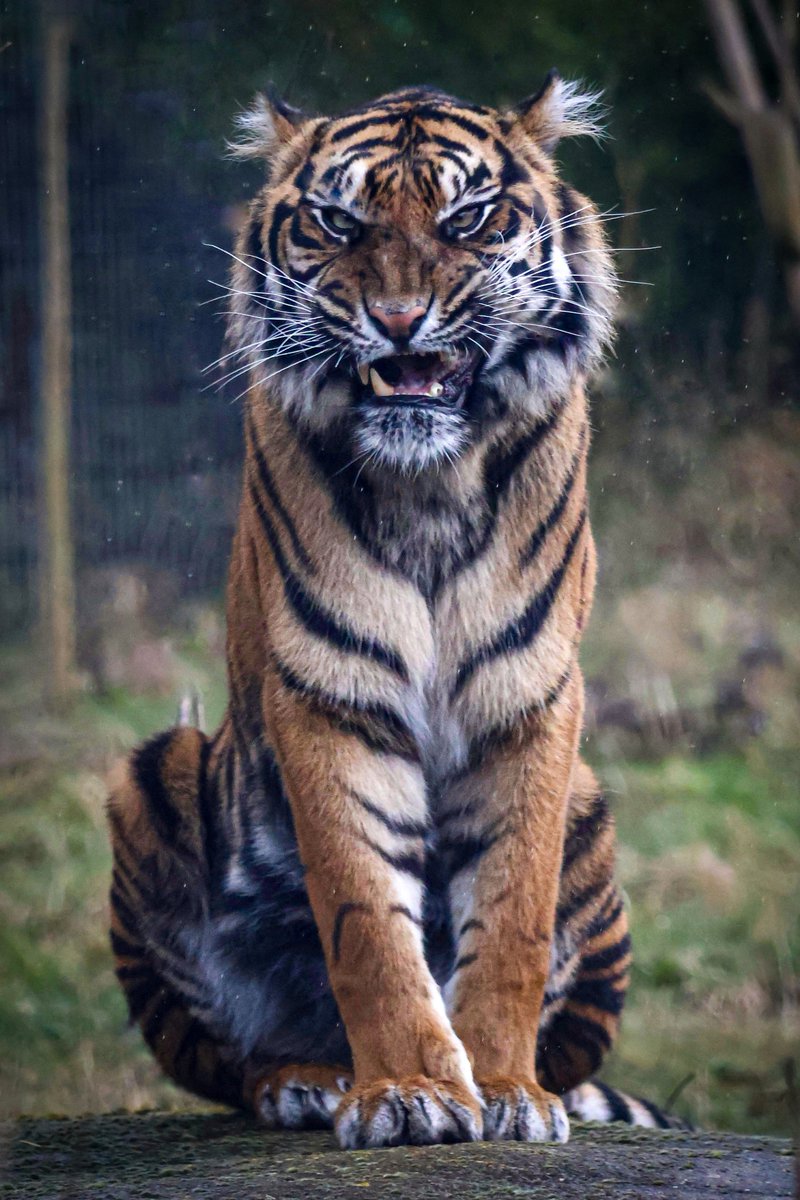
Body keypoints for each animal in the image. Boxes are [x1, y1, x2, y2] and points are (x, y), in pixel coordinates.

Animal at [107, 73, 682, 1149]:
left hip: (590, 806)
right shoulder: (328, 693)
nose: (401, 319)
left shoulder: (530, 700)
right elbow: (366, 924)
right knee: (230, 1060)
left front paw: (502, 1089)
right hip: (156, 772)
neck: (430, 484)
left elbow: (512, 920)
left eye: (468, 219)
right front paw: (409, 1091)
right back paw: (307, 1077)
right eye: (338, 223)